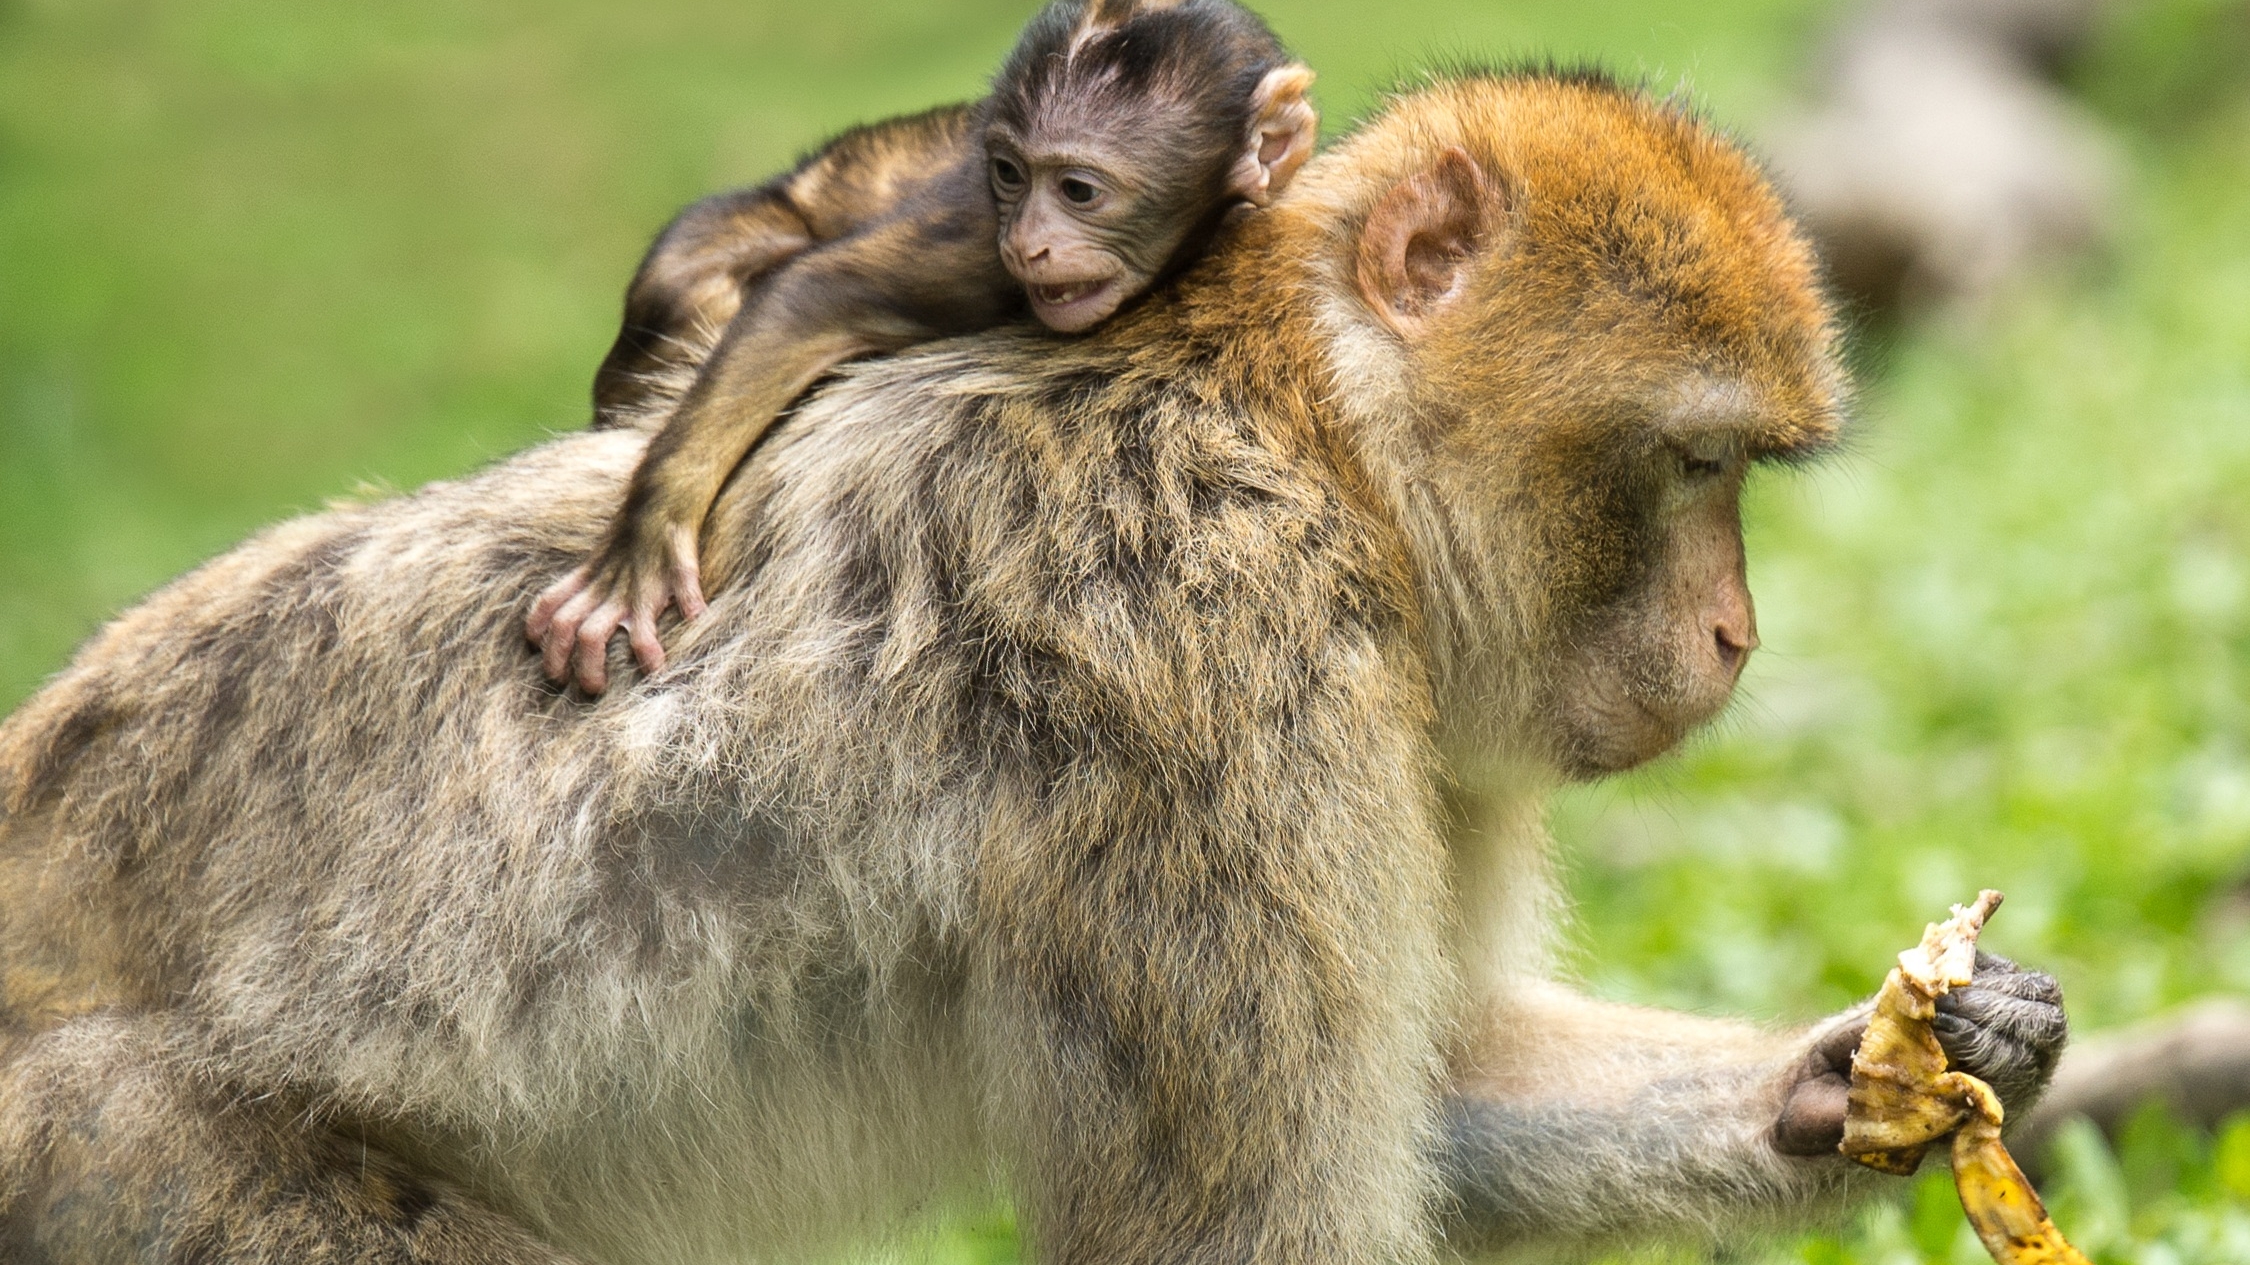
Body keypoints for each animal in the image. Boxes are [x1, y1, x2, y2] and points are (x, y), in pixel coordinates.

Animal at [531, 0, 1314, 688]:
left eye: (1078, 190)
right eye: (1009, 174)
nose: (1029, 243)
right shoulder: (976, 243)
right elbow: (812, 296)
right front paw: (644, 542)